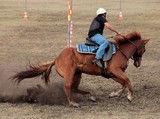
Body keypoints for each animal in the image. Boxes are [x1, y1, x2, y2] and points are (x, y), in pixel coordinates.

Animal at [11, 31, 149, 107]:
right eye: (144, 49)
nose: (138, 64)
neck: (121, 51)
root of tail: (56, 58)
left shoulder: (112, 74)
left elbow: (123, 83)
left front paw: (114, 94)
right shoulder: (115, 71)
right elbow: (128, 81)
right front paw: (130, 97)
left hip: (78, 74)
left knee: (73, 88)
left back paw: (90, 96)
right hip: (70, 73)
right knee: (67, 87)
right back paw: (73, 103)